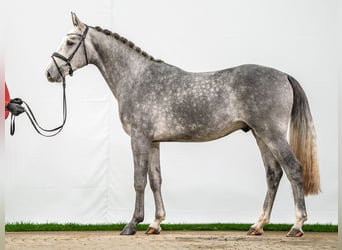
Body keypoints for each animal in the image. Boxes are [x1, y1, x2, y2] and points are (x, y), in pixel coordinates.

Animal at [46, 13, 320, 236]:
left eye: (70, 41)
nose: (49, 73)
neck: (136, 78)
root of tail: (283, 75)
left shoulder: (139, 138)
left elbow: (138, 180)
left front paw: (132, 224)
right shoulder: (153, 141)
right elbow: (155, 180)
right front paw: (156, 223)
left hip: (272, 134)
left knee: (294, 169)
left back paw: (297, 226)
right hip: (260, 135)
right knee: (273, 174)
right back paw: (258, 225)